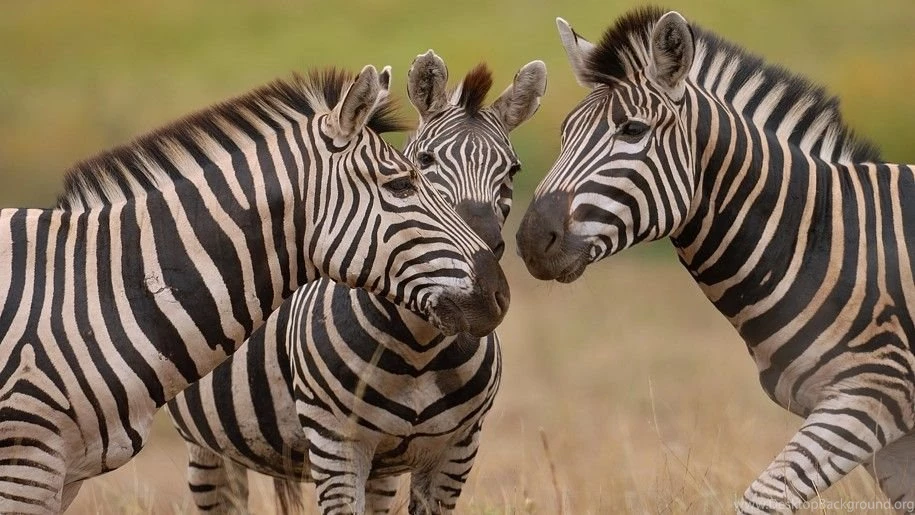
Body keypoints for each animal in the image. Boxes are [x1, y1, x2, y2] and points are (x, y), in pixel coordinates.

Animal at [166, 50, 547, 515]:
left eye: (513, 170)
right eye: (424, 162)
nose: (485, 249)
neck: (422, 349)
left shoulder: (456, 451)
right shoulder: (336, 446)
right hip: (206, 446)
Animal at [516, 7, 915, 514]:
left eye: (633, 130)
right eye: (565, 132)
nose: (530, 240)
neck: (826, 241)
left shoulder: (871, 395)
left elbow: (763, 499)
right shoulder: (890, 430)